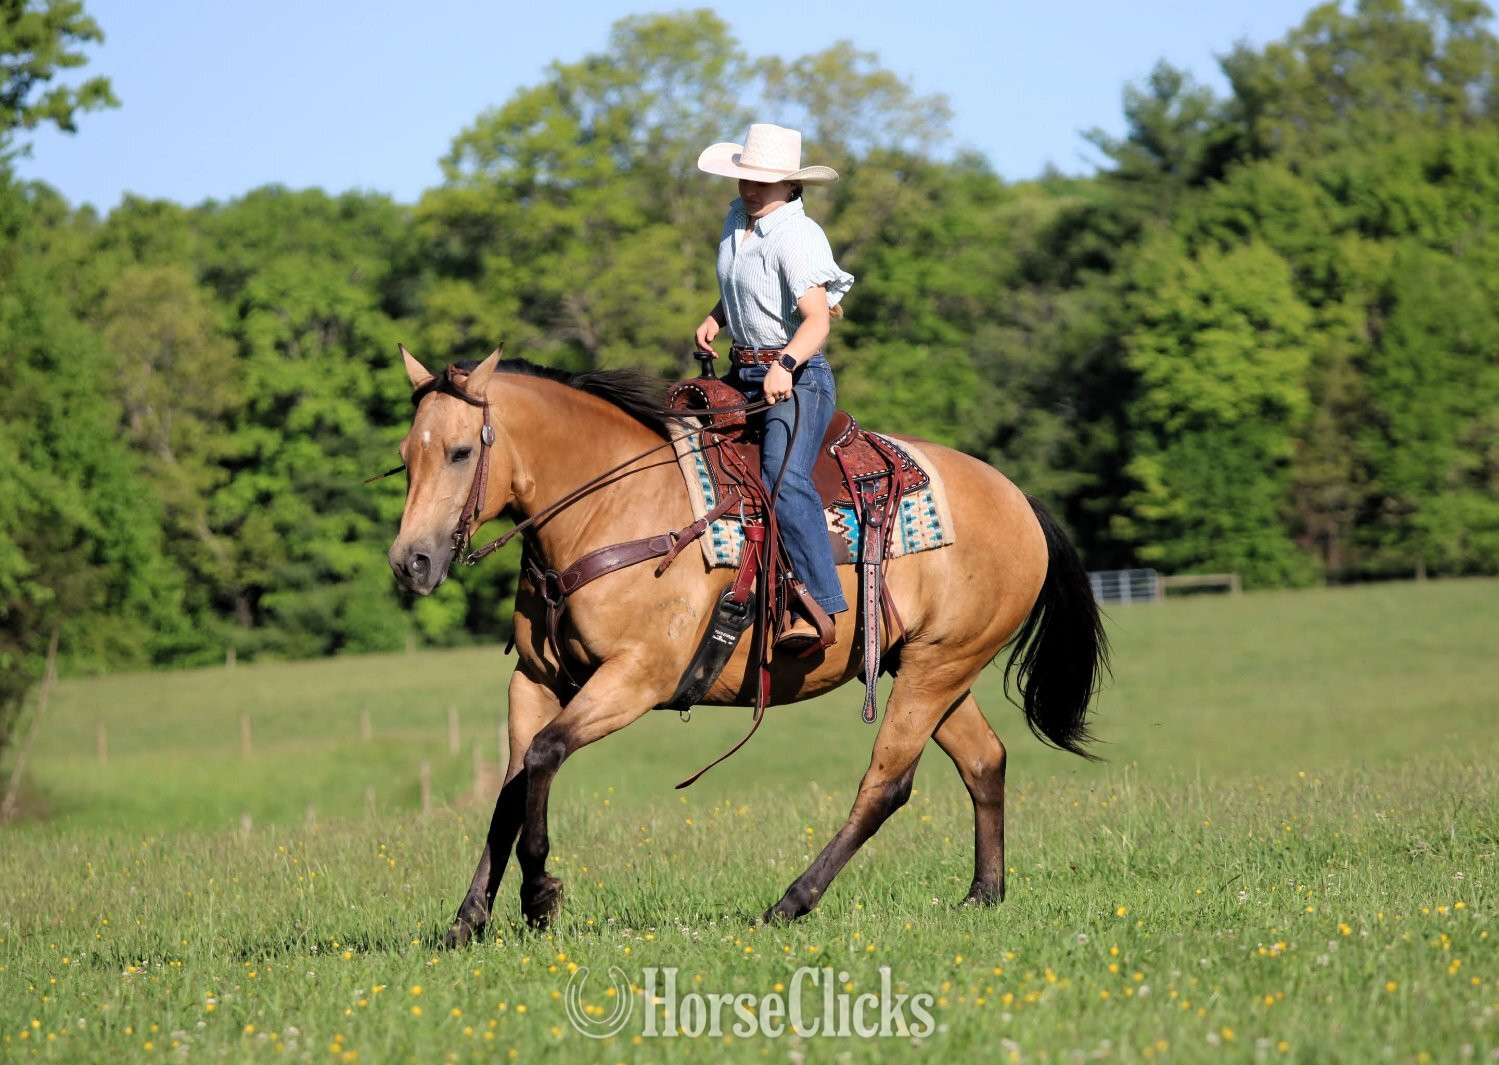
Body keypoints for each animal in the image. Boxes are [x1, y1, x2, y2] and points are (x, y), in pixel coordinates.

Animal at [387, 346, 1107, 946]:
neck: (613, 509)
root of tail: (1018, 497)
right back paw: (983, 893)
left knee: (886, 782)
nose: (410, 562)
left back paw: (789, 903)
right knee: (984, 760)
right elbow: (512, 788)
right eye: (406, 455)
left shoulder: (635, 678)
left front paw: (540, 897)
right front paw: (467, 920)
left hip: (938, 666)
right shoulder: (536, 682)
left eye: (459, 452)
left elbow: (543, 756)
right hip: (931, 665)